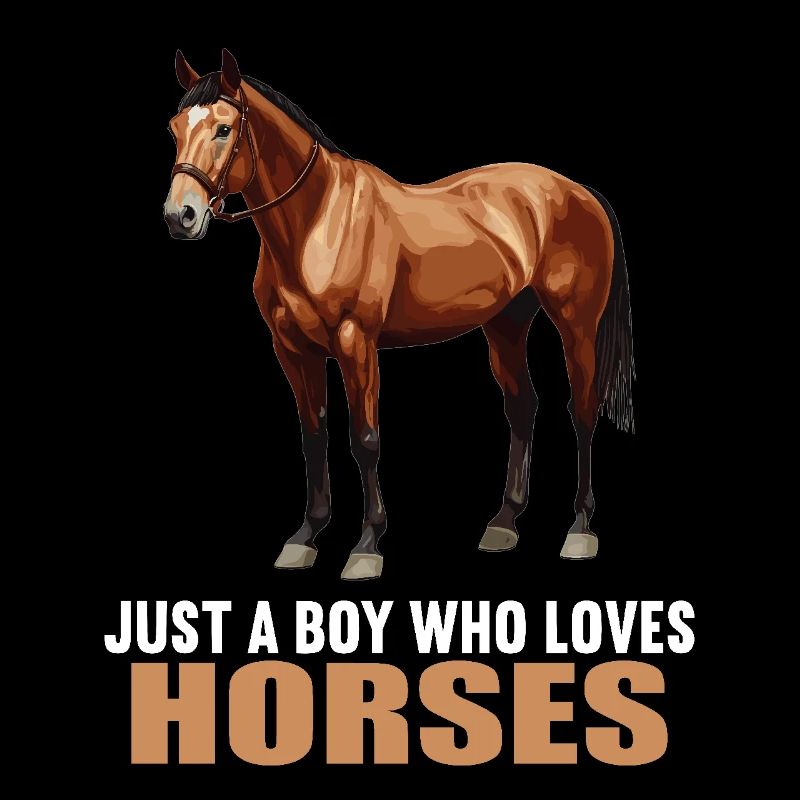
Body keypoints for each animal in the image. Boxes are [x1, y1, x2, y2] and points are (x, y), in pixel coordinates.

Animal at [164, 49, 634, 580]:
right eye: (174, 128)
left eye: (224, 128)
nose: (180, 216)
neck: (318, 222)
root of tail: (580, 191)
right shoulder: (292, 350)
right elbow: (313, 436)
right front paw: (305, 537)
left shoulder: (356, 343)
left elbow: (365, 439)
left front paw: (367, 545)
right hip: (506, 325)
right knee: (522, 407)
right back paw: (503, 523)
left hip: (577, 327)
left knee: (582, 411)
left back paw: (580, 529)